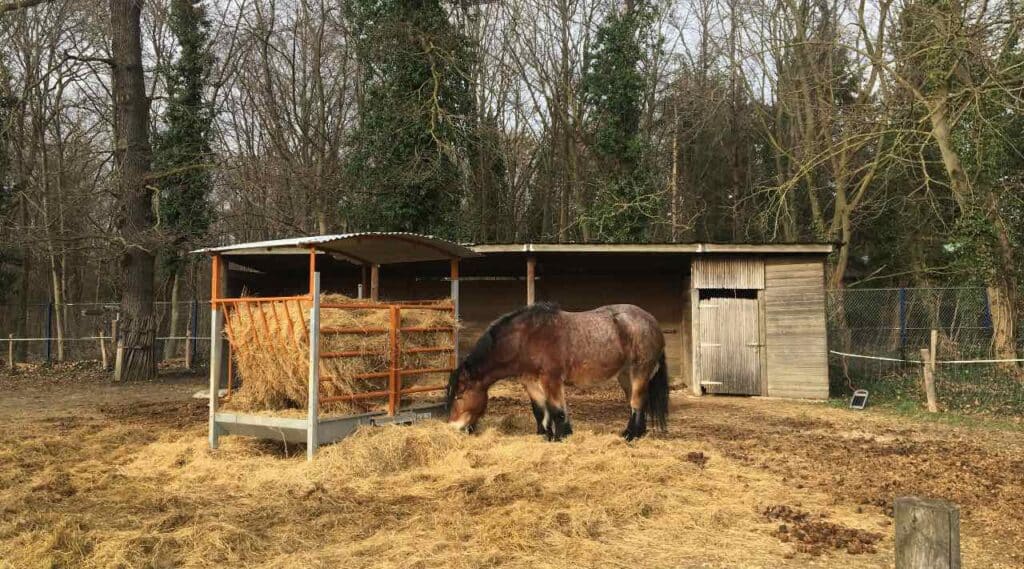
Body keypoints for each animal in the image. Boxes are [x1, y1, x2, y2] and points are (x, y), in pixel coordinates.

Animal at [444, 302, 667, 440]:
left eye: (459, 396)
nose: (454, 428)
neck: (524, 339)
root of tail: (651, 321)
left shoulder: (551, 379)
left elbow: (557, 410)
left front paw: (562, 436)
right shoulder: (530, 381)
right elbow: (540, 410)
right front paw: (545, 435)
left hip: (639, 371)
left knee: (637, 402)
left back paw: (631, 435)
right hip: (625, 375)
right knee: (637, 402)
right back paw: (635, 432)